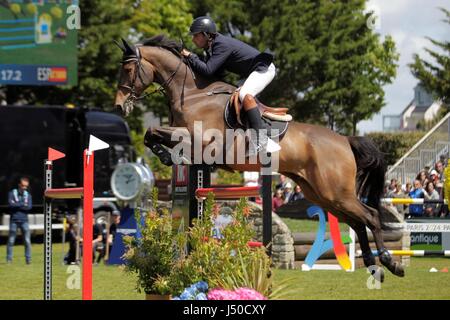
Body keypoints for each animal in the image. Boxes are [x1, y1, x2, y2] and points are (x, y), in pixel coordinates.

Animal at [112, 35, 404, 280]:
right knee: (357, 221)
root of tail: (345, 140)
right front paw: (163, 154)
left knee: (370, 216)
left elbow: (154, 132)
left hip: (336, 192)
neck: (193, 94)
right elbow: (152, 134)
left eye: (129, 70)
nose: (119, 106)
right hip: (321, 194)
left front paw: (162, 153)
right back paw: (373, 265)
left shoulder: (203, 140)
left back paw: (391, 263)